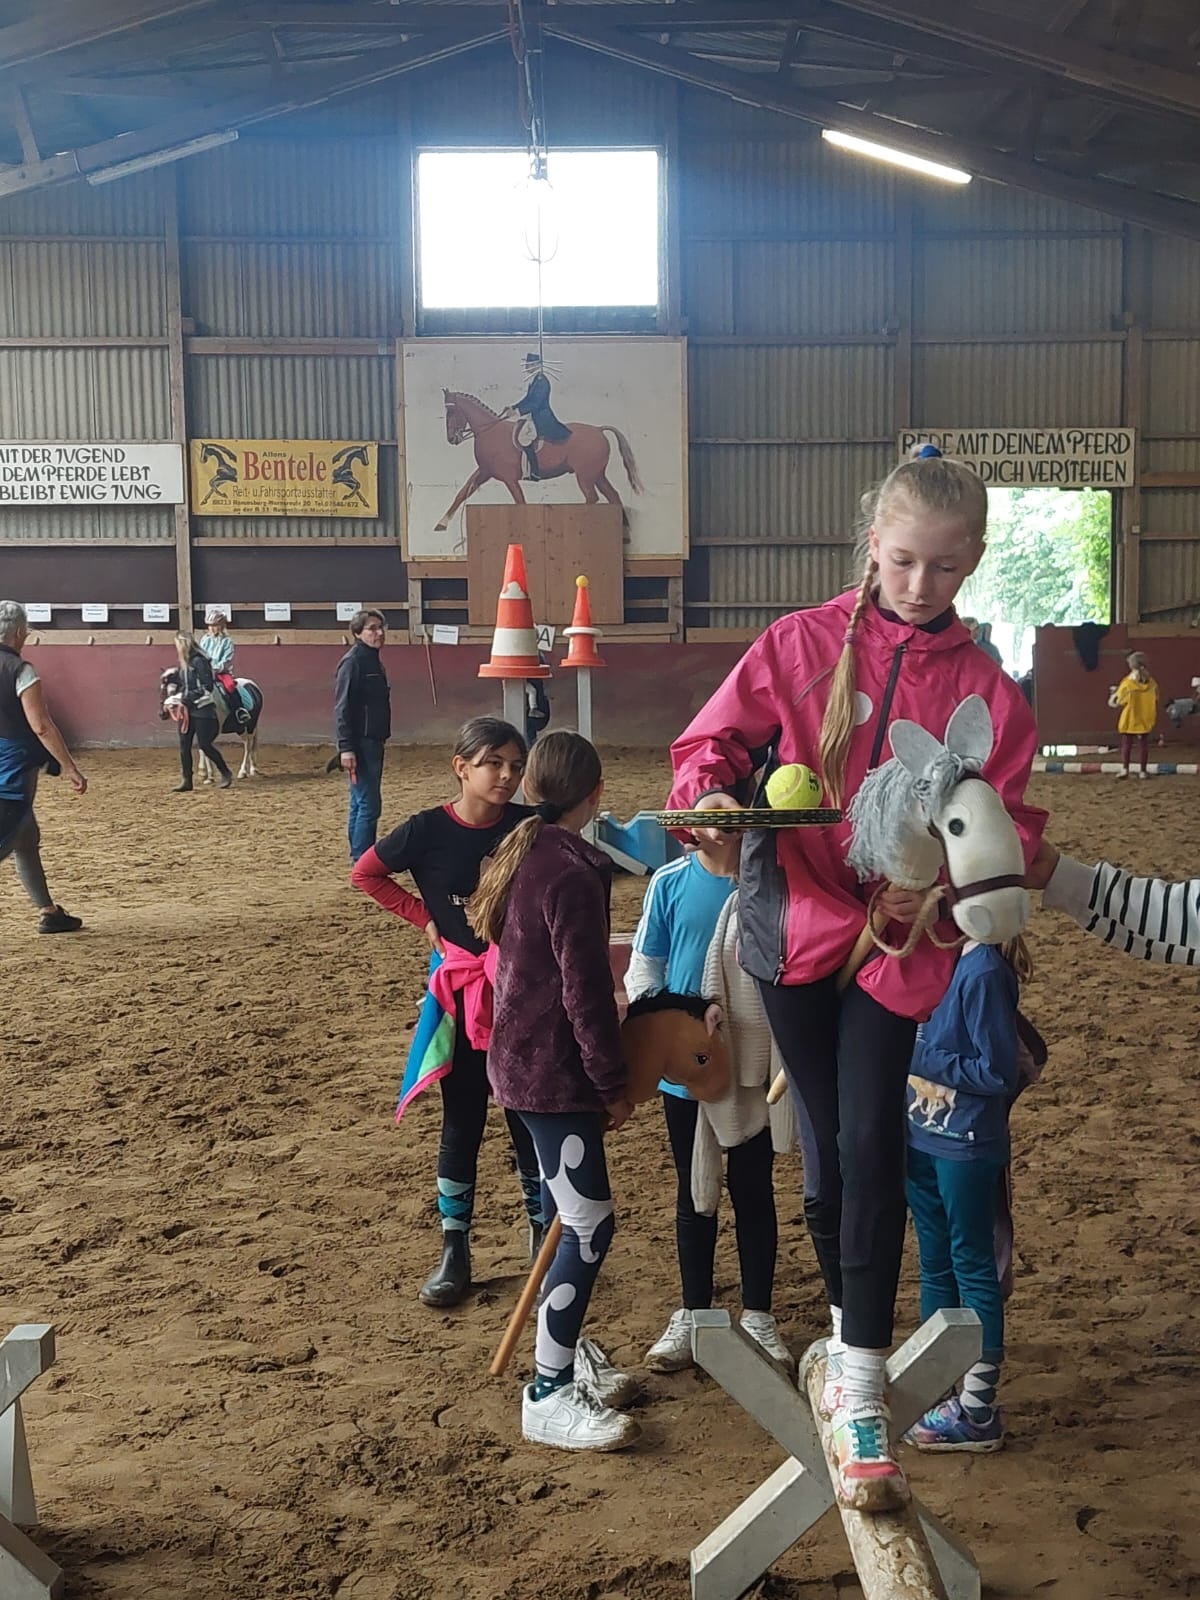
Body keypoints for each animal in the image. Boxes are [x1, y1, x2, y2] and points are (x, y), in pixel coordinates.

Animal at [434, 390, 644, 532]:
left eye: (451, 413)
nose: (452, 439)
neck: (490, 432)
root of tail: (599, 430)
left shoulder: (509, 479)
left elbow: (520, 502)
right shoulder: (484, 471)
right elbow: (462, 493)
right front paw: (441, 523)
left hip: (585, 476)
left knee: (592, 497)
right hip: (597, 474)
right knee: (613, 496)